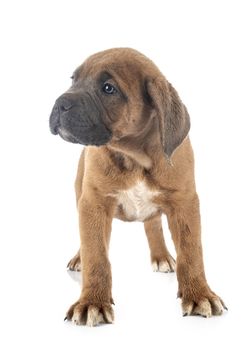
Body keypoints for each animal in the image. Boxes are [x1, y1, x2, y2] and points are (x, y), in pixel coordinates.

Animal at [49, 47, 227, 326]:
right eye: (73, 80)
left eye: (108, 88)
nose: (60, 103)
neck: (134, 156)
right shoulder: (93, 203)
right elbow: (96, 255)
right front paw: (92, 302)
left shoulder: (185, 203)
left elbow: (191, 252)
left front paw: (199, 294)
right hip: (80, 195)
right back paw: (80, 258)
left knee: (152, 225)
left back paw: (162, 256)